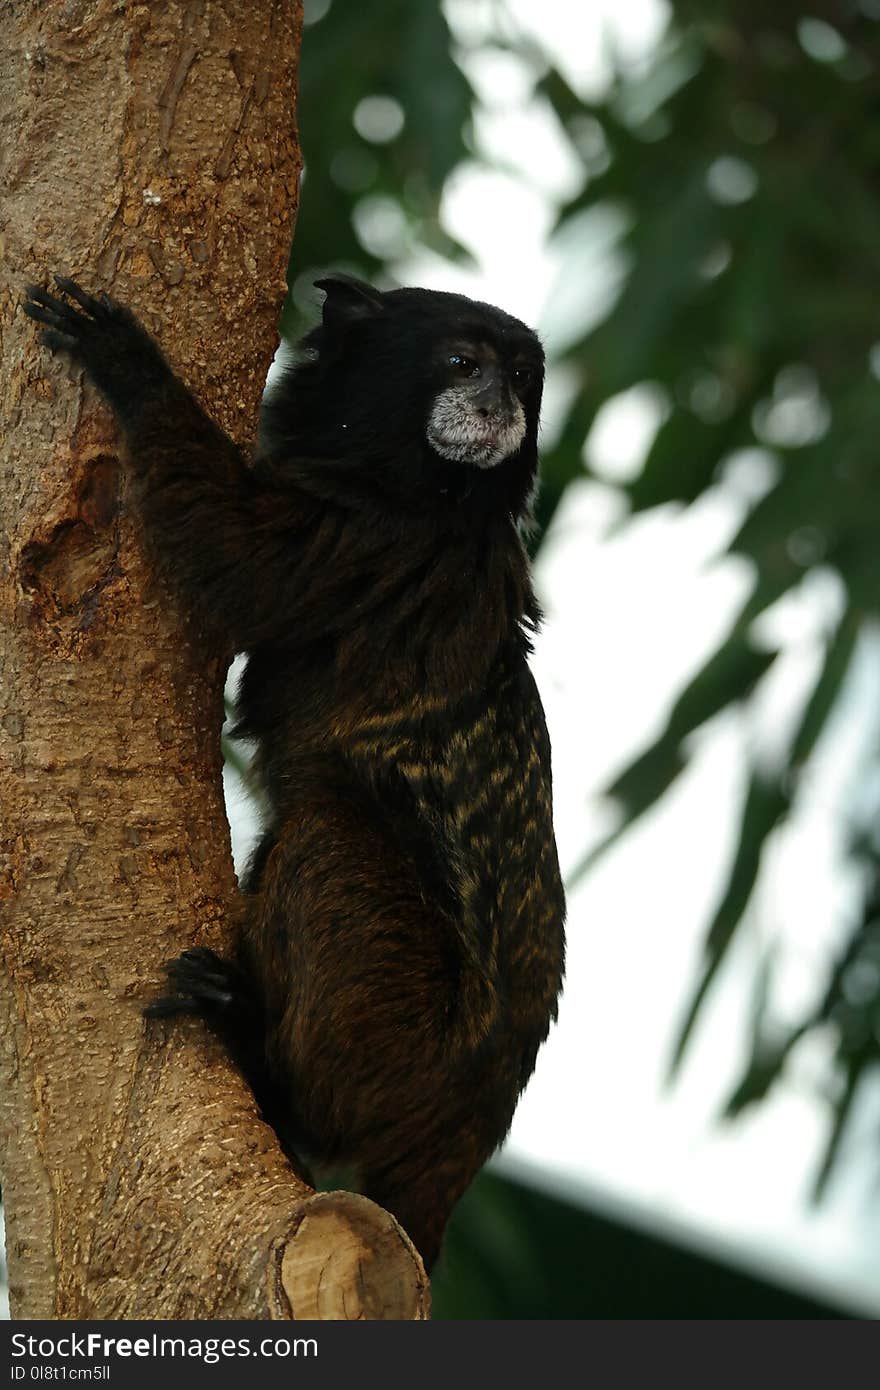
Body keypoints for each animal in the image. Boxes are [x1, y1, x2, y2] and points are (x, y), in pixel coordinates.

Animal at [25, 273, 569, 1273]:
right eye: (464, 364)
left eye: (521, 377)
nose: (499, 406)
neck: (432, 491)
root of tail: (470, 1120)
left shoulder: (377, 540)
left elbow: (240, 563)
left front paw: (130, 365)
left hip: (409, 1033)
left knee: (324, 838)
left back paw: (256, 1048)